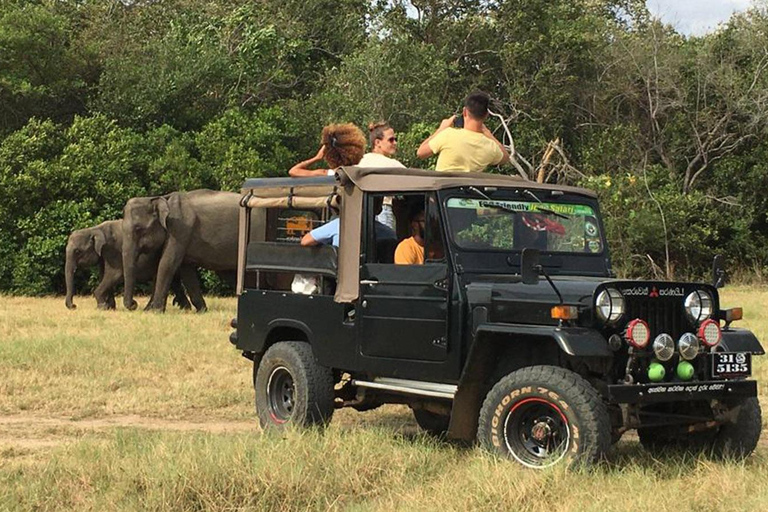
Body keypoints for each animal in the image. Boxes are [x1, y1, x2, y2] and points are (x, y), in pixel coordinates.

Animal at [64, 219, 201, 310]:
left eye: (77, 251)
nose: (74, 306)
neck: (94, 229)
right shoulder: (104, 254)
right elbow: (104, 275)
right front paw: (109, 308)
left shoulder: (113, 249)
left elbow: (115, 274)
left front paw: (102, 307)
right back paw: (184, 308)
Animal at [121, 190, 250, 312]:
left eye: (138, 229)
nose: (134, 304)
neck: (160, 198)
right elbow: (186, 270)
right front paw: (202, 311)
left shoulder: (179, 229)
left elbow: (167, 263)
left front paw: (156, 311)